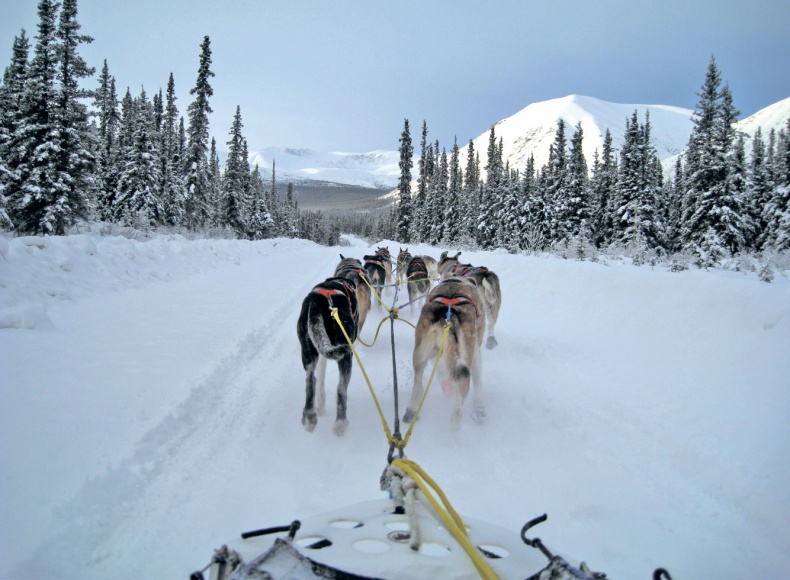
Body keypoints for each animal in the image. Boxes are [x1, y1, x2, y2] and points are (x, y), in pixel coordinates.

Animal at [296, 276, 358, 436]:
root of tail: (317, 301)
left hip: (308, 349)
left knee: (311, 379)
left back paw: (310, 416)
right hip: (345, 355)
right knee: (341, 389)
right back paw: (340, 424)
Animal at [406, 276, 486, 426]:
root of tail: (447, 316)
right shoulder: (475, 354)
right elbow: (478, 382)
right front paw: (479, 409)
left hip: (421, 356)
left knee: (418, 388)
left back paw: (411, 410)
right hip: (464, 361)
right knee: (459, 401)